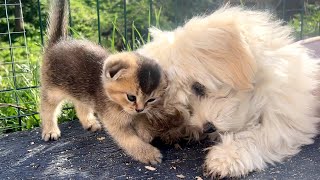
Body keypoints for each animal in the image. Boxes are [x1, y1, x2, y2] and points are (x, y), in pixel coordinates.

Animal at [42, 0, 172, 165]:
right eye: (131, 97)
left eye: (151, 100)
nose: (139, 109)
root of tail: (58, 42)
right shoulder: (115, 124)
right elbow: (131, 141)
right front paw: (148, 153)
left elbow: (142, 122)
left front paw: (145, 133)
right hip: (52, 90)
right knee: (47, 108)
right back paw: (50, 130)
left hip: (80, 91)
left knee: (80, 104)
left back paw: (89, 122)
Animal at [138, 6, 320, 178]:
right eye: (187, 106)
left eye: (198, 87)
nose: (207, 127)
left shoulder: (286, 118)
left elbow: (258, 135)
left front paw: (226, 157)